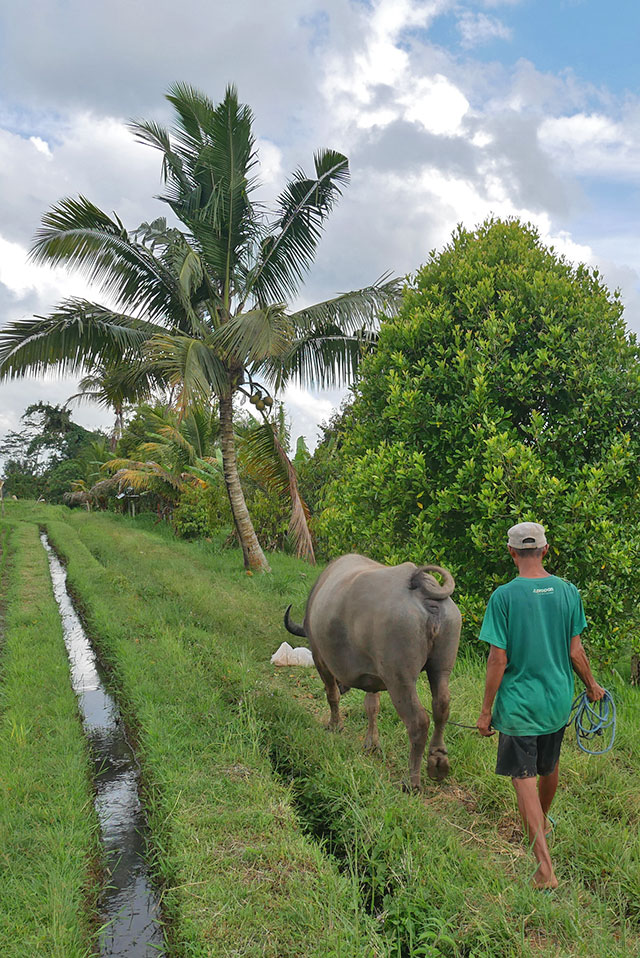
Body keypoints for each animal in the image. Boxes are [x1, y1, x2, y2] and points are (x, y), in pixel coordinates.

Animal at [284, 556, 460, 788]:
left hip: (400, 679)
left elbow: (332, 695)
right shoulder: (373, 677)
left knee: (419, 722)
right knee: (441, 707)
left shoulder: (320, 659)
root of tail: (420, 585)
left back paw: (412, 781)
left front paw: (335, 726)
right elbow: (372, 707)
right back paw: (438, 763)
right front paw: (372, 743)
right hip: (441, 668)